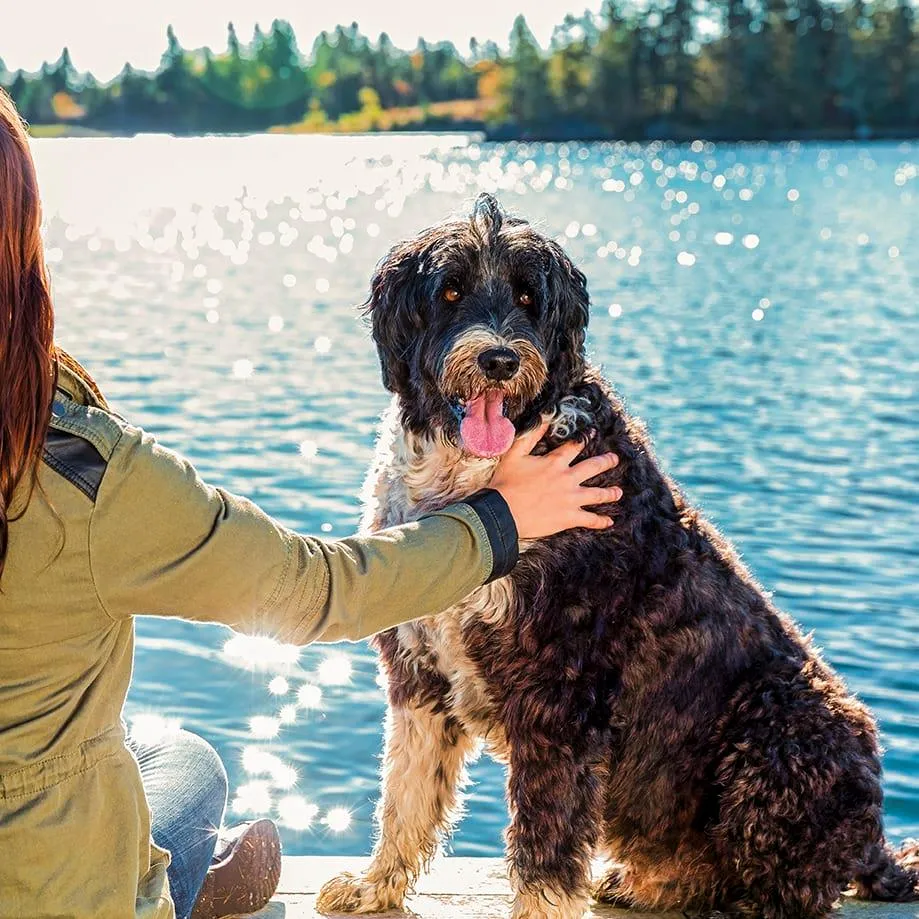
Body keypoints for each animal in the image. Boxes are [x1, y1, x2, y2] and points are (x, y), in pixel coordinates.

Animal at [318, 190, 919, 916]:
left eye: (527, 297)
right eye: (451, 290)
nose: (498, 360)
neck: (476, 478)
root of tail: (875, 842)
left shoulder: (562, 691)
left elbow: (544, 850)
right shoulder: (420, 673)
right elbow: (406, 793)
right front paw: (375, 884)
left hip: (777, 737)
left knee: (787, 883)